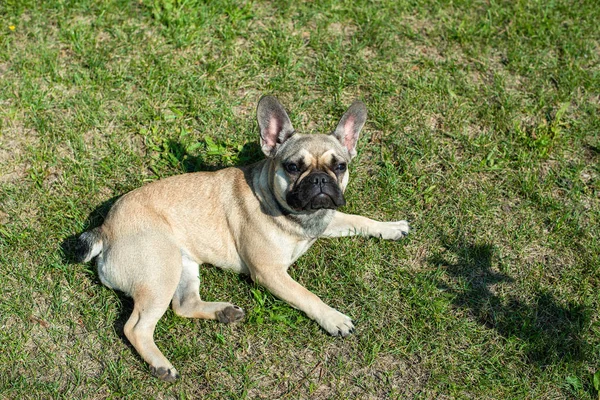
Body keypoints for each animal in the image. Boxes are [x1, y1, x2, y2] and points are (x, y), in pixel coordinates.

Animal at [76, 96, 408, 382]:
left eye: (340, 166)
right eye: (293, 167)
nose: (319, 180)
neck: (294, 215)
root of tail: (106, 229)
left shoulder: (326, 217)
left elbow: (357, 220)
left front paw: (390, 227)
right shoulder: (270, 272)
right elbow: (306, 296)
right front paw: (333, 318)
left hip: (182, 266)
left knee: (183, 305)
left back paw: (223, 312)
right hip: (159, 270)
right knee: (136, 327)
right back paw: (161, 364)